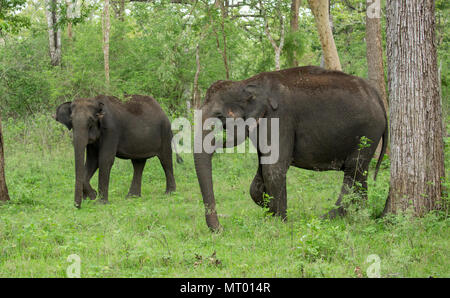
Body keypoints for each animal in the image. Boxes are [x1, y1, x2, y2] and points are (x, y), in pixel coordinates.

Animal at [55, 94, 183, 208]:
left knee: (165, 160)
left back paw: (170, 193)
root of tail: (161, 109)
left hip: (165, 133)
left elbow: (104, 160)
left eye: (91, 120)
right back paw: (132, 197)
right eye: (71, 121)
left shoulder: (111, 130)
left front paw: (99, 202)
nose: (77, 206)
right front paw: (92, 196)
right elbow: (92, 162)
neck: (95, 101)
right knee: (138, 163)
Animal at [192, 66, 386, 232]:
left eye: (219, 116)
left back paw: (325, 219)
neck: (246, 83)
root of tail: (379, 98)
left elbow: (273, 169)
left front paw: (279, 223)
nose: (220, 229)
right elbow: (260, 177)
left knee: (353, 172)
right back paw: (360, 215)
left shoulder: (279, 118)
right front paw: (270, 211)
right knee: (360, 174)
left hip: (368, 132)